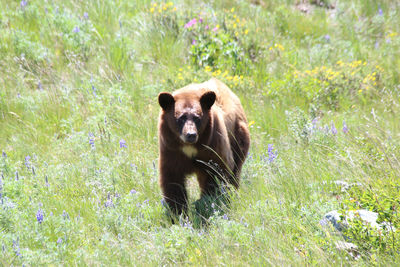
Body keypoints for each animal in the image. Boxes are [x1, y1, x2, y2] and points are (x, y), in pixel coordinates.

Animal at [157, 78, 248, 216]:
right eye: (180, 118)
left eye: (197, 118)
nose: (191, 134)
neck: (190, 147)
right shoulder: (170, 149)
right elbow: (172, 179)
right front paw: (177, 213)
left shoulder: (213, 144)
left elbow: (216, 172)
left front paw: (207, 204)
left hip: (238, 136)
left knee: (234, 171)